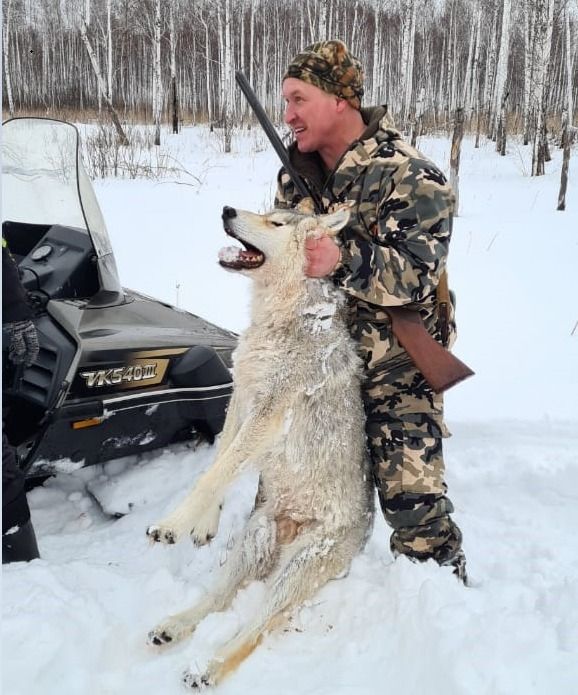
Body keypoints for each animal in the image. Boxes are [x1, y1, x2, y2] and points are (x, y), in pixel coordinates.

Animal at [143, 204, 368, 688]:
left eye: (276, 224)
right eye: (265, 212)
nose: (227, 209)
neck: (275, 319)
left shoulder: (268, 413)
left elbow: (215, 474)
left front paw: (173, 524)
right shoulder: (242, 395)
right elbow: (219, 460)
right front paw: (203, 522)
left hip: (299, 569)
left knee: (256, 629)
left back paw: (206, 668)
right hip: (256, 538)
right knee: (219, 598)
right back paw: (172, 628)